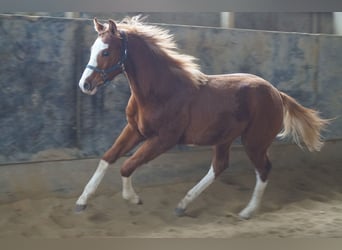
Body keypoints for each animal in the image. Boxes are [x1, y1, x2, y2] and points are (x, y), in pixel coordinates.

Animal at [75, 17, 328, 219]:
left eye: (106, 52)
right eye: (93, 48)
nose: (85, 84)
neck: (160, 91)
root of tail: (277, 93)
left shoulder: (164, 140)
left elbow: (127, 165)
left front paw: (133, 198)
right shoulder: (134, 130)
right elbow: (107, 158)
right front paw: (81, 201)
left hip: (254, 142)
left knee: (263, 169)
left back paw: (246, 212)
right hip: (225, 139)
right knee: (219, 166)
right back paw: (182, 205)